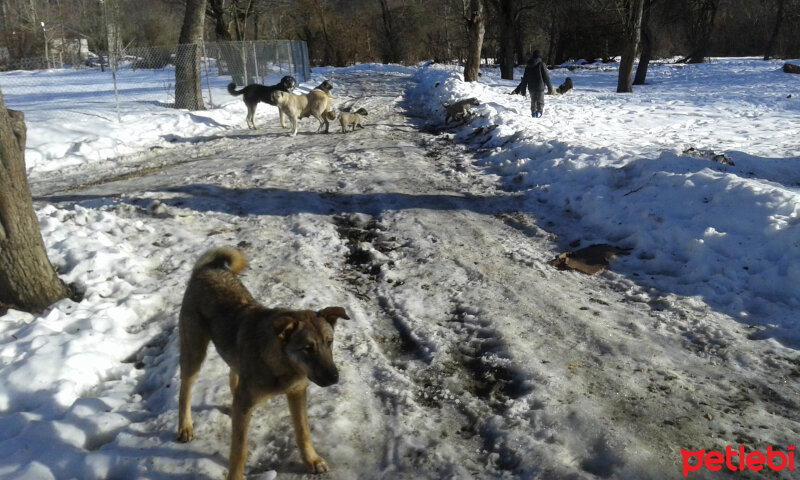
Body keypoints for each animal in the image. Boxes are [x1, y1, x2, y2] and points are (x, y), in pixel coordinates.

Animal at [178, 248, 346, 480]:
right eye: (307, 348)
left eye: (329, 342)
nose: (333, 378)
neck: (283, 365)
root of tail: (209, 268)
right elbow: (238, 450)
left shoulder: (297, 392)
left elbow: (303, 431)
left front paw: (311, 460)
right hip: (193, 351)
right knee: (185, 389)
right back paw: (185, 427)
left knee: (233, 374)